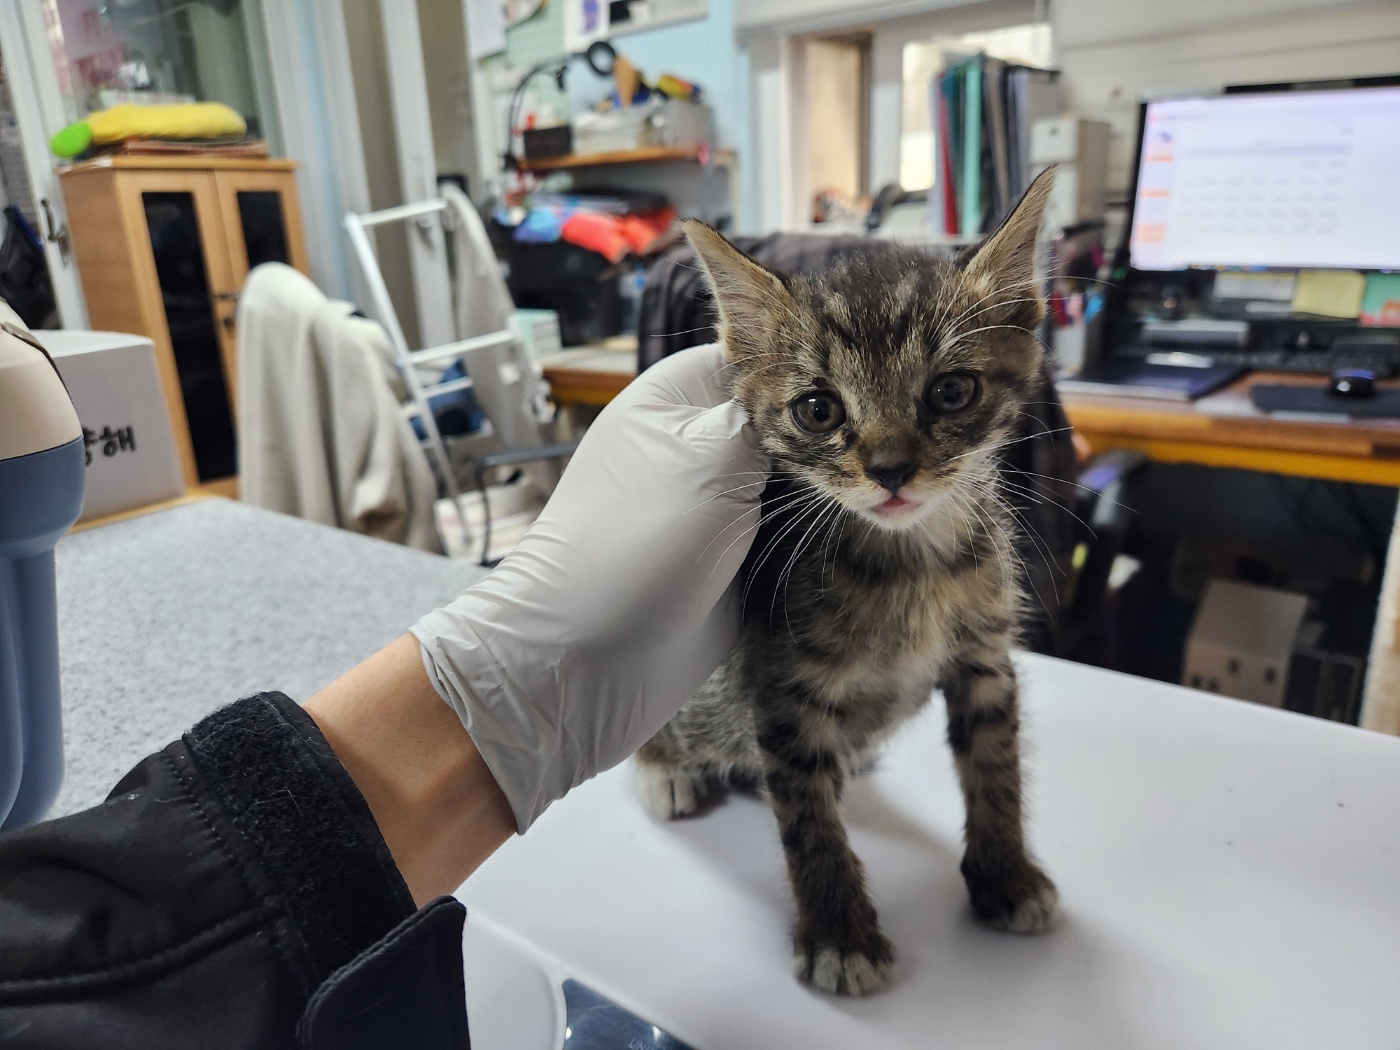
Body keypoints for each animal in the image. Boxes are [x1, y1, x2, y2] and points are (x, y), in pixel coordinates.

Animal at [638, 170, 1058, 996]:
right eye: (819, 409)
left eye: (951, 392)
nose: (891, 468)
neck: (912, 563)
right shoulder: (780, 687)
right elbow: (808, 820)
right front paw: (838, 931)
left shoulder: (985, 656)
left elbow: (994, 764)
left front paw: (1006, 874)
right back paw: (666, 768)